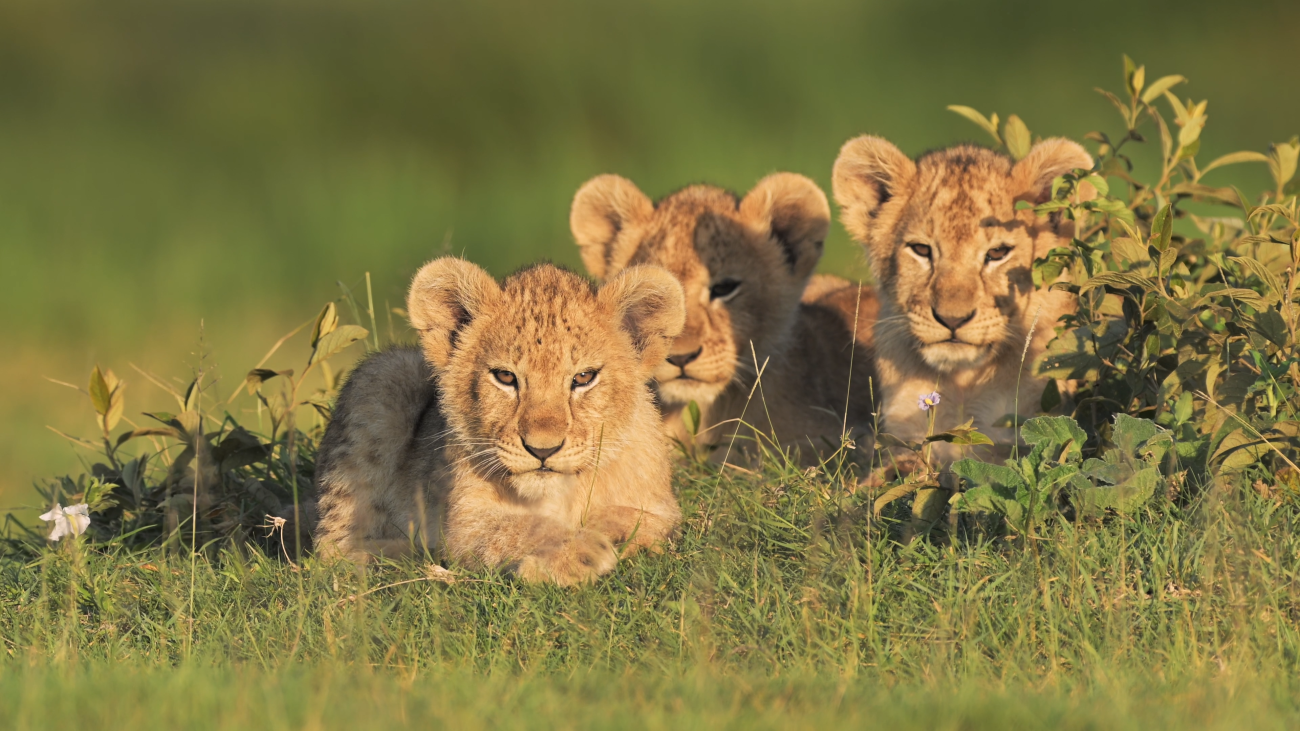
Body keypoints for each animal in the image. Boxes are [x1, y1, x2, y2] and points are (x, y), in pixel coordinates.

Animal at [313, 258, 687, 585]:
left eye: (584, 377)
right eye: (505, 377)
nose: (542, 449)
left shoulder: (662, 506)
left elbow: (646, 520)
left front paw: (612, 531)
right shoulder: (465, 522)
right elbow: (518, 528)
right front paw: (578, 554)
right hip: (386, 373)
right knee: (331, 547)